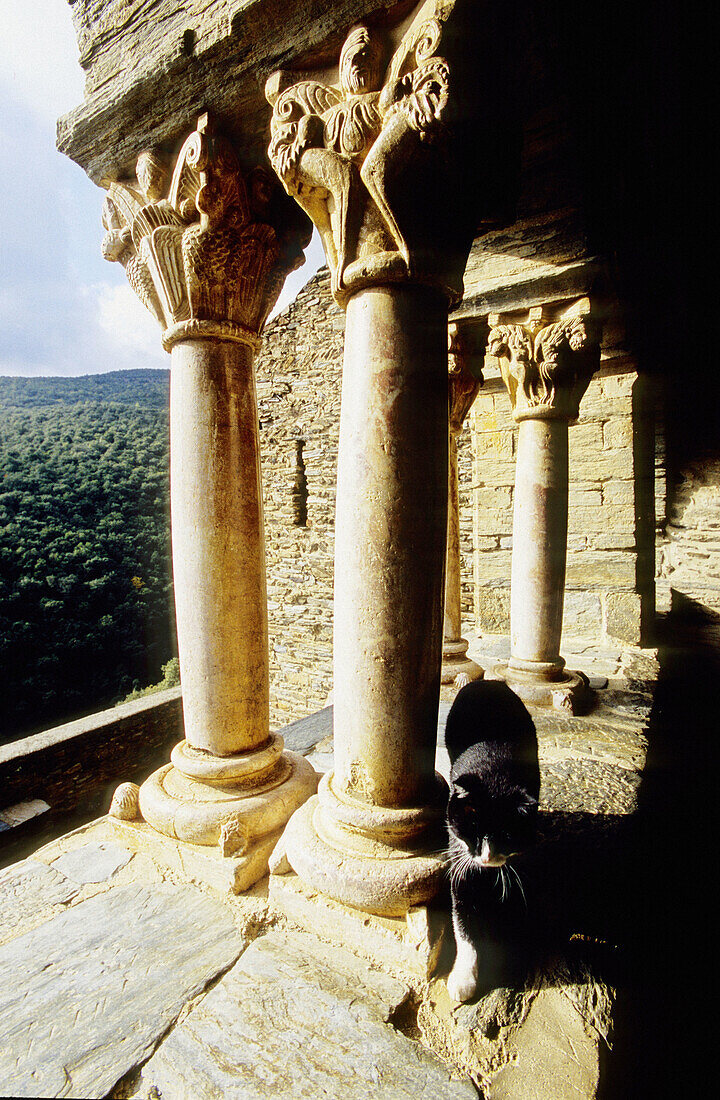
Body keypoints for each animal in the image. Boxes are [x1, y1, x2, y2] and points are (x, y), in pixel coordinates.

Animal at [444, 673, 540, 1003]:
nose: (486, 857)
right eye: (472, 829)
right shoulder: (460, 866)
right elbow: (464, 927)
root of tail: (489, 682)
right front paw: (463, 979)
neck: (495, 771)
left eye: (507, 834)